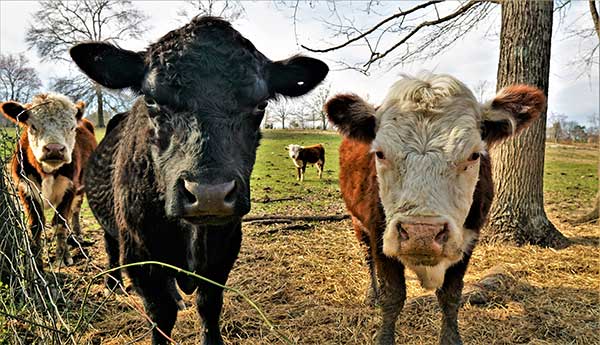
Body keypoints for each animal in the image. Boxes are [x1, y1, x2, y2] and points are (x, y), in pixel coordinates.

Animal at [0, 93, 97, 266]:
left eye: (72, 128)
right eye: (32, 126)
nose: (54, 149)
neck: (47, 172)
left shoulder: (70, 188)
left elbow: (60, 222)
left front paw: (62, 256)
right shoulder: (24, 188)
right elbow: (36, 224)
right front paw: (35, 259)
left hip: (81, 187)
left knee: (75, 210)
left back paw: (77, 235)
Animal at [70, 14, 328, 342]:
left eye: (261, 104)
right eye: (151, 100)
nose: (210, 195)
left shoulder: (224, 248)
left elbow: (209, 304)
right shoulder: (141, 257)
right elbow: (161, 315)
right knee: (110, 246)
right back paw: (112, 283)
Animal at [326, 74, 548, 344]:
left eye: (474, 155)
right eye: (380, 153)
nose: (421, 234)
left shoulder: (467, 240)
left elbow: (450, 297)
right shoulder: (379, 234)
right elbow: (392, 297)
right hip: (358, 223)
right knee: (368, 259)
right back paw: (372, 293)